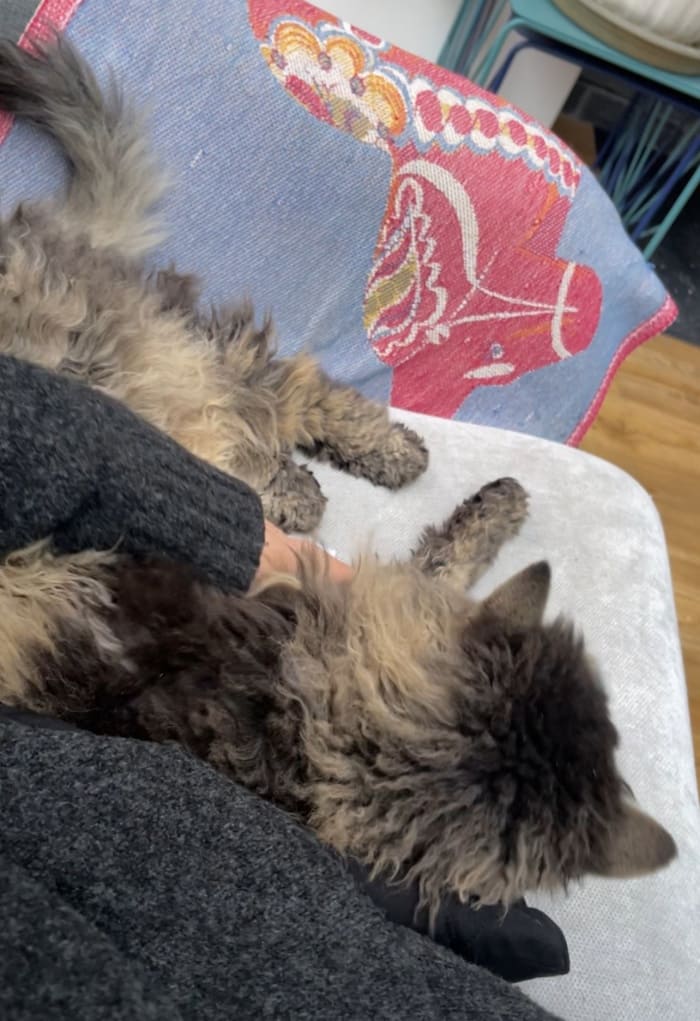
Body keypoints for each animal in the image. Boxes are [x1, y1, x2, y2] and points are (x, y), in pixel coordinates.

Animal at [0, 38, 675, 915]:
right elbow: (449, 553)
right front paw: (500, 506)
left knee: (268, 414)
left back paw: (334, 473)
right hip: (162, 372)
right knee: (282, 395)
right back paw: (358, 466)